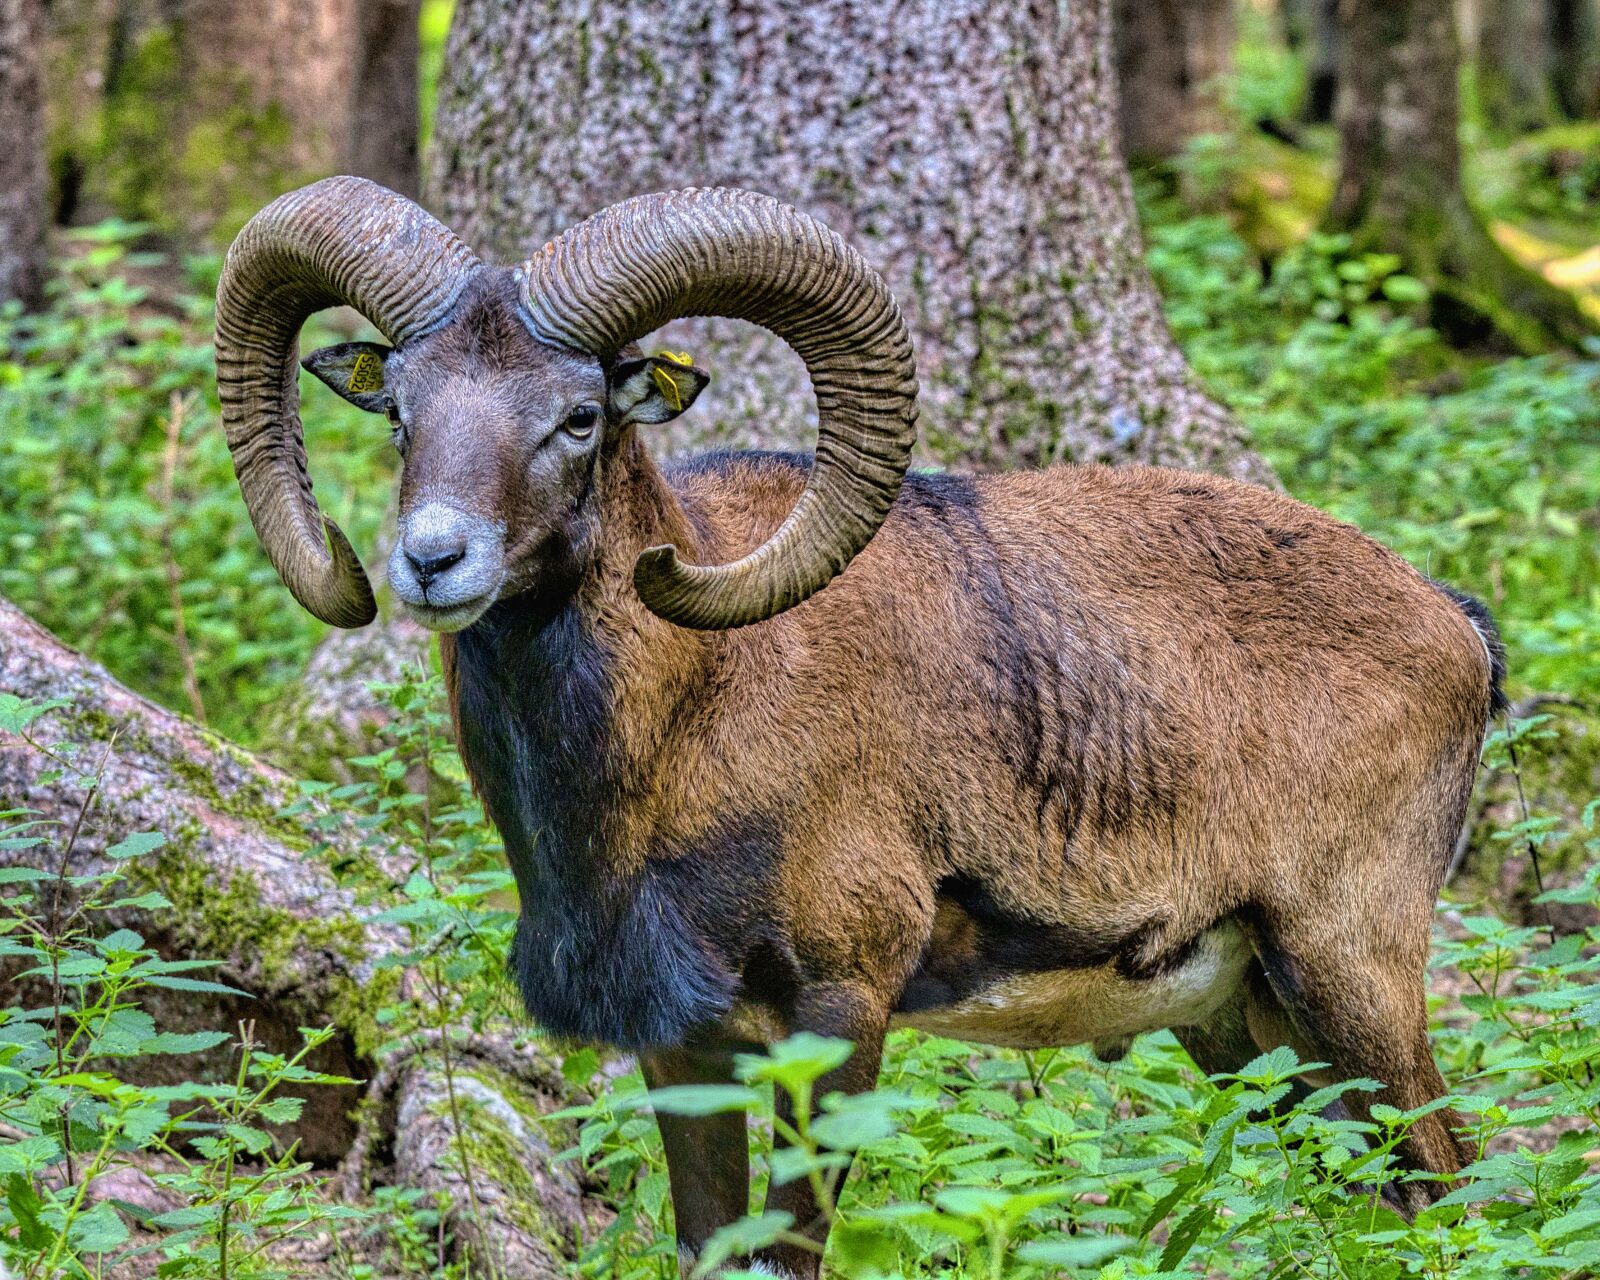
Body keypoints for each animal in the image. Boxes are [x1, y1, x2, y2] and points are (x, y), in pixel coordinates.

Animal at [219, 175, 1504, 1273]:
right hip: (1245, 1021)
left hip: (1347, 970)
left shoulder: (837, 1013)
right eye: (399, 410)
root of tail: (1457, 626)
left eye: (579, 416)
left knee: (1450, 1179)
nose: (432, 559)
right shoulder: (684, 1046)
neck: (691, 724)